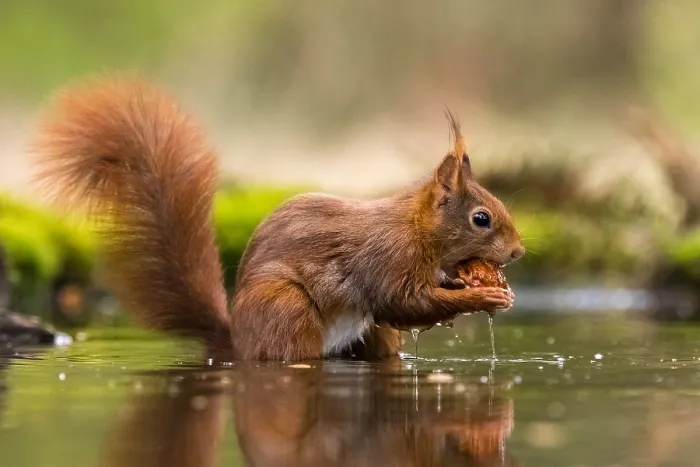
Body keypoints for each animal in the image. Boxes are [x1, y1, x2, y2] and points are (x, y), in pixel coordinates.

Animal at [32, 76, 524, 361]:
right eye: (481, 218)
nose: (518, 252)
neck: (417, 231)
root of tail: (237, 342)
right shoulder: (386, 260)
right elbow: (404, 303)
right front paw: (482, 296)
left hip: (371, 337)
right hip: (286, 311)